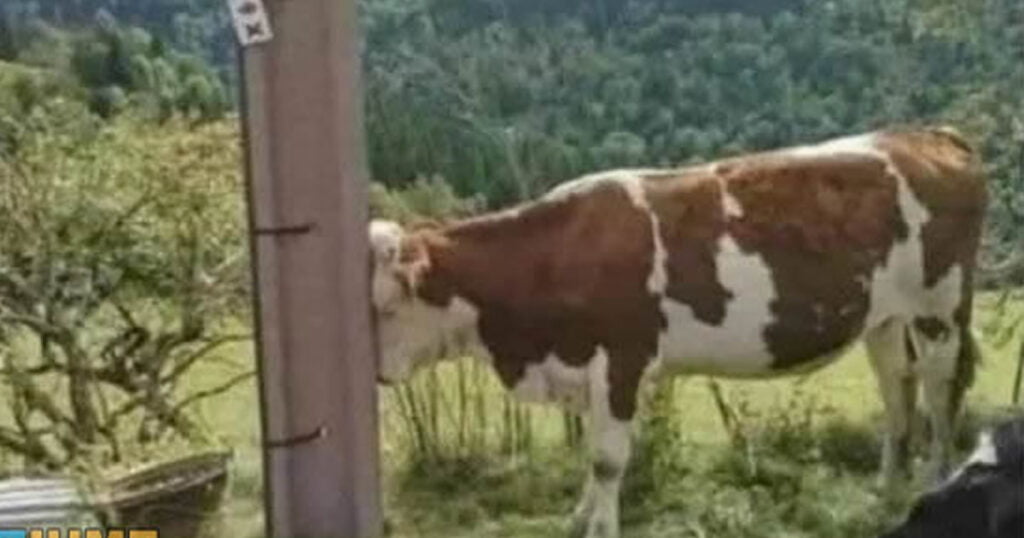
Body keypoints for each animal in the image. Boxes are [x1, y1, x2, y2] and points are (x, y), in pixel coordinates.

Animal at [369, 125, 987, 538]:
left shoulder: (623, 358)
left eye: (384, 306)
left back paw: (934, 484)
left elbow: (608, 459)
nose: (374, 374)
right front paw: (579, 514)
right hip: (883, 319)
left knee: (940, 396)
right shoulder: (587, 370)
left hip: (940, 309)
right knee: (898, 394)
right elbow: (592, 454)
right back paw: (887, 490)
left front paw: (601, 528)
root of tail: (926, 134)